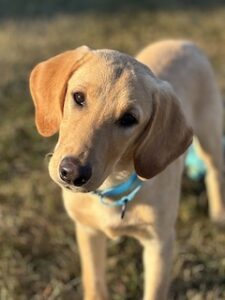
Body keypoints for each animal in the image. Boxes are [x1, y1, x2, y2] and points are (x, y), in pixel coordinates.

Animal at [29, 40, 225, 300]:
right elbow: (94, 283)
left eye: (129, 119)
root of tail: (184, 42)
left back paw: (219, 214)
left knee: (215, 173)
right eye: (78, 97)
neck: (114, 184)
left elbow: (154, 292)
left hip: (209, 133)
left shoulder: (159, 243)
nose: (72, 173)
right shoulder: (87, 230)